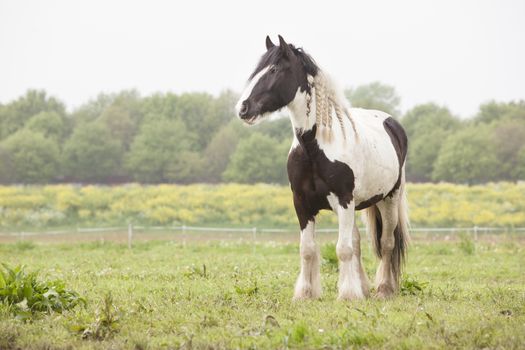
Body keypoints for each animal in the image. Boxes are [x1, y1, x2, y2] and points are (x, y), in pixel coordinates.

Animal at [234, 35, 410, 300]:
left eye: (274, 70)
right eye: (256, 71)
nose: (243, 108)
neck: (315, 147)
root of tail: (392, 124)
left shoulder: (344, 201)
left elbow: (343, 249)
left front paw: (347, 295)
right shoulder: (302, 203)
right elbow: (308, 249)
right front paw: (306, 294)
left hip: (389, 199)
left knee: (386, 242)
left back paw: (384, 289)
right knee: (358, 242)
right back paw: (364, 287)